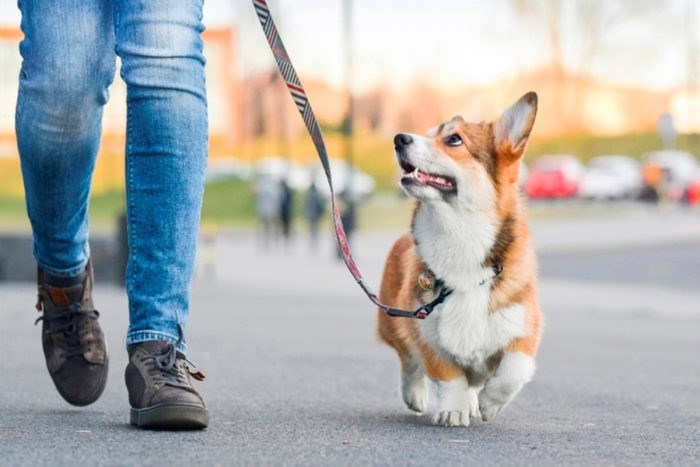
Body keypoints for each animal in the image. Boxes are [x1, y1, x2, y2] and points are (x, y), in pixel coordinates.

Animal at [378, 92, 540, 428]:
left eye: (454, 139)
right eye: (429, 134)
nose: (399, 138)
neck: (460, 237)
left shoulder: (524, 328)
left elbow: (513, 370)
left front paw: (490, 403)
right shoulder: (425, 330)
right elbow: (448, 375)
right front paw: (453, 408)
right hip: (392, 320)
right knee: (408, 362)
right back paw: (418, 395)